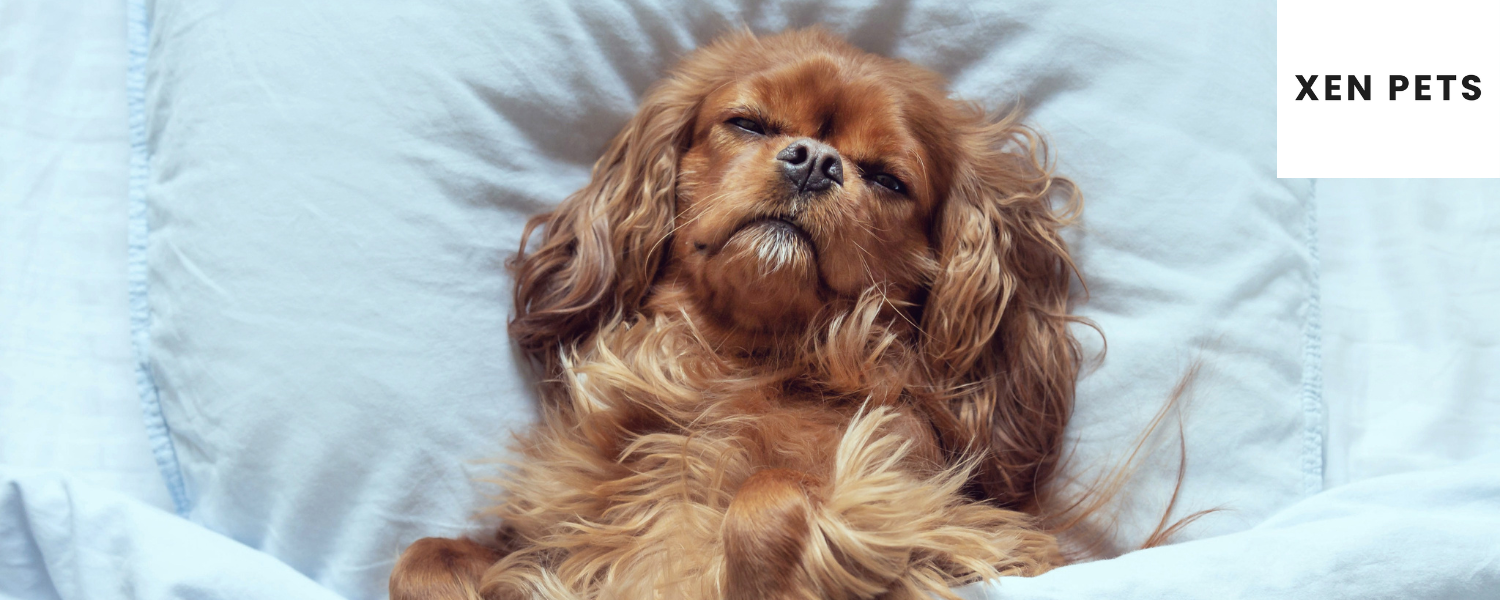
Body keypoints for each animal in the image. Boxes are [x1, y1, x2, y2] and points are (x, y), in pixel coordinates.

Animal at [387, 27, 1092, 600]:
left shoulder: (961, 519)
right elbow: (418, 559)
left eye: (887, 178)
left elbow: (766, 495)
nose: (815, 161)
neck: (736, 363)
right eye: (749, 124)